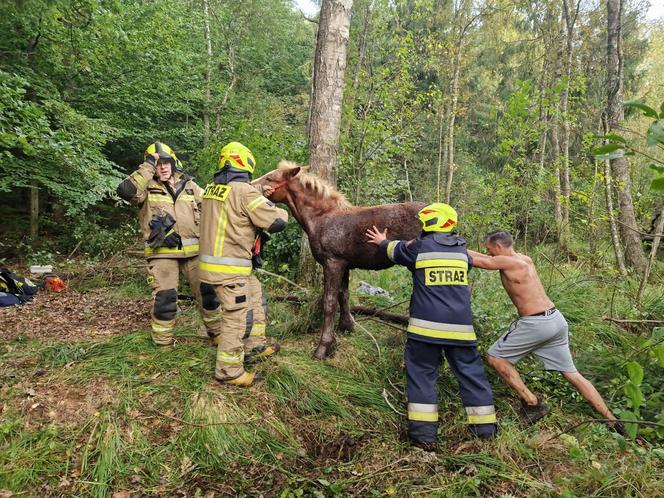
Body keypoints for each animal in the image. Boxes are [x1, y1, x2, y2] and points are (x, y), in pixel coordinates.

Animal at [254, 161, 426, 360]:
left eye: (270, 178)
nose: (250, 185)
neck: (322, 218)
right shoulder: (344, 265)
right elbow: (344, 296)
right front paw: (346, 328)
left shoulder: (333, 263)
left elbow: (329, 302)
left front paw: (324, 347)